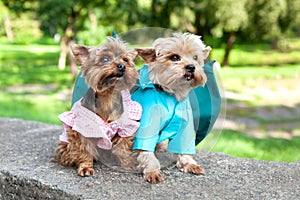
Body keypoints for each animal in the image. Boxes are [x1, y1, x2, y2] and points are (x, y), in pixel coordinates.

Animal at [132, 32, 212, 183]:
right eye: (174, 57)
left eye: (195, 58)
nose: (191, 67)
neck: (172, 94)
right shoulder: (148, 126)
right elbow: (147, 151)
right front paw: (152, 171)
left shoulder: (184, 126)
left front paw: (189, 164)